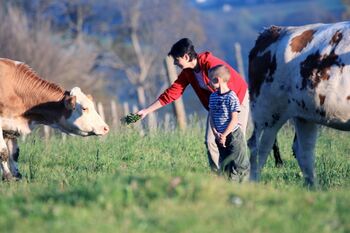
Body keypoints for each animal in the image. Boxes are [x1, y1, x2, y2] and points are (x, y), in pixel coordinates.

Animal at [247, 21, 350, 186]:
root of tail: (273, 30)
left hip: (304, 115)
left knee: (304, 151)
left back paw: (314, 188)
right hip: (267, 110)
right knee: (258, 147)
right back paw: (254, 184)